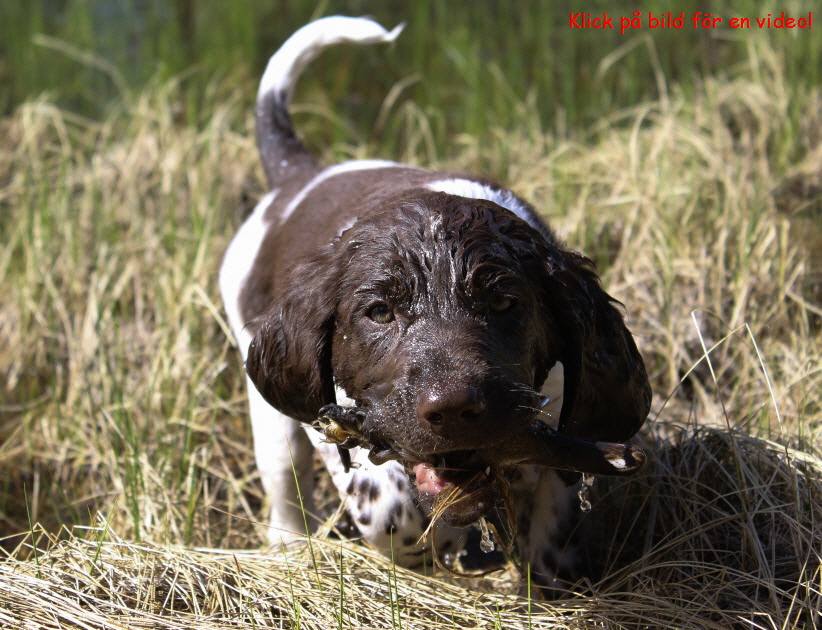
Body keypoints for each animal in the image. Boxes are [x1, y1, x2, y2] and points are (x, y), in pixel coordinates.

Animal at [222, 17, 652, 596]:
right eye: (380, 312)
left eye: (502, 302)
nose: (451, 409)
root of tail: (297, 176)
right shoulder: (340, 423)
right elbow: (391, 506)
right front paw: (438, 535)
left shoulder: (563, 423)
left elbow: (553, 523)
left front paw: (547, 587)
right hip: (269, 411)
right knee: (287, 492)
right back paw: (290, 551)